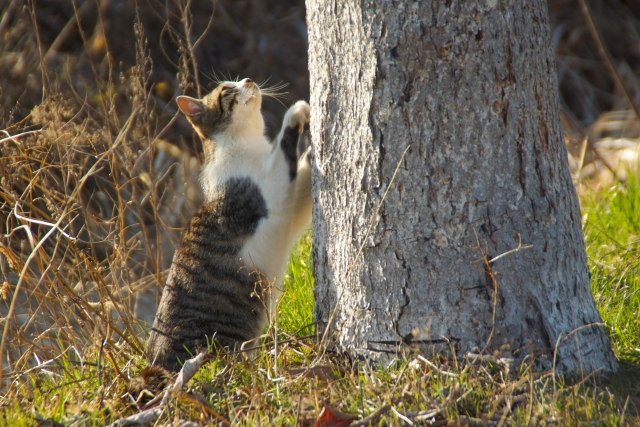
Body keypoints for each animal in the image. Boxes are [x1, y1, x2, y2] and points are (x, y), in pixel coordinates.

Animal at [146, 78, 316, 372]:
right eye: (228, 88)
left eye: (238, 79)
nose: (248, 80)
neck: (248, 143)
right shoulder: (274, 193)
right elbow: (283, 149)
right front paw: (298, 111)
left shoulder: (294, 208)